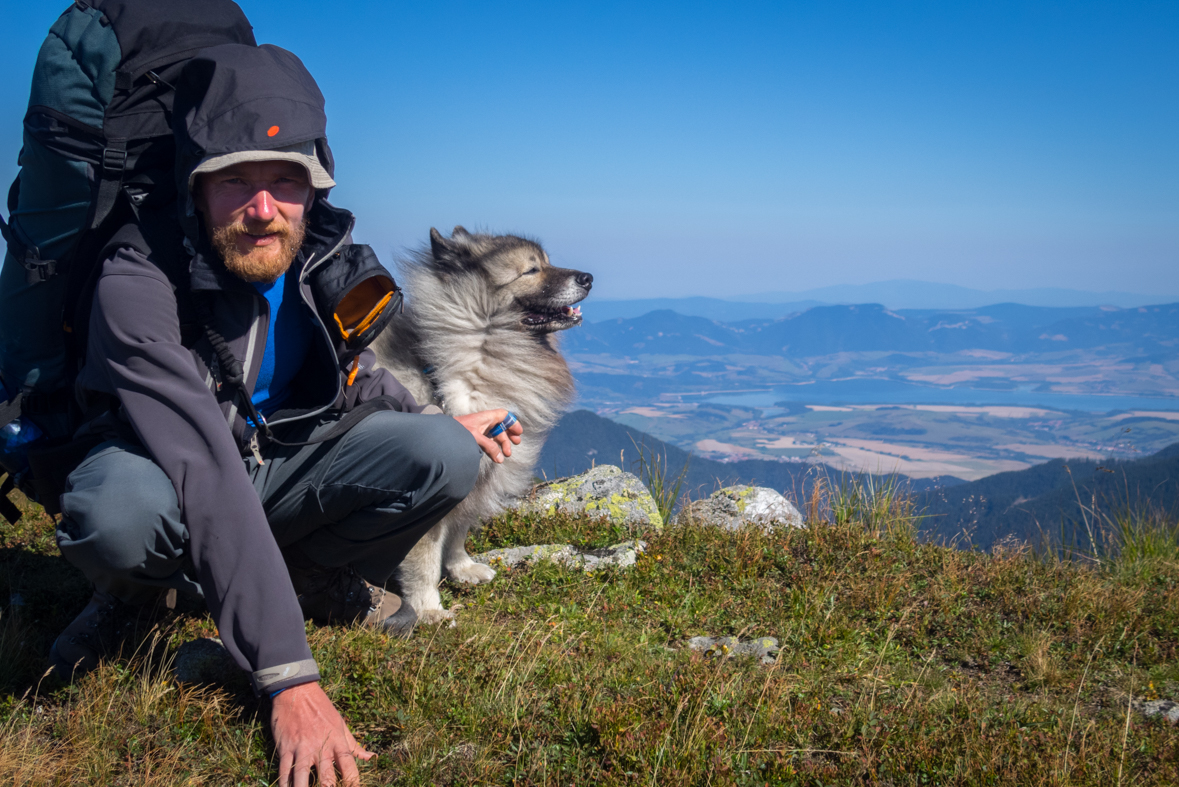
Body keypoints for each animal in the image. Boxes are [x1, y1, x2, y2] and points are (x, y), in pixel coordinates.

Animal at [372, 226, 589, 622]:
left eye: (546, 262)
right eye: (531, 270)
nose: (588, 278)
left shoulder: (485, 470)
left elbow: (459, 530)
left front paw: (461, 568)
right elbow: (425, 556)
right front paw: (428, 608)